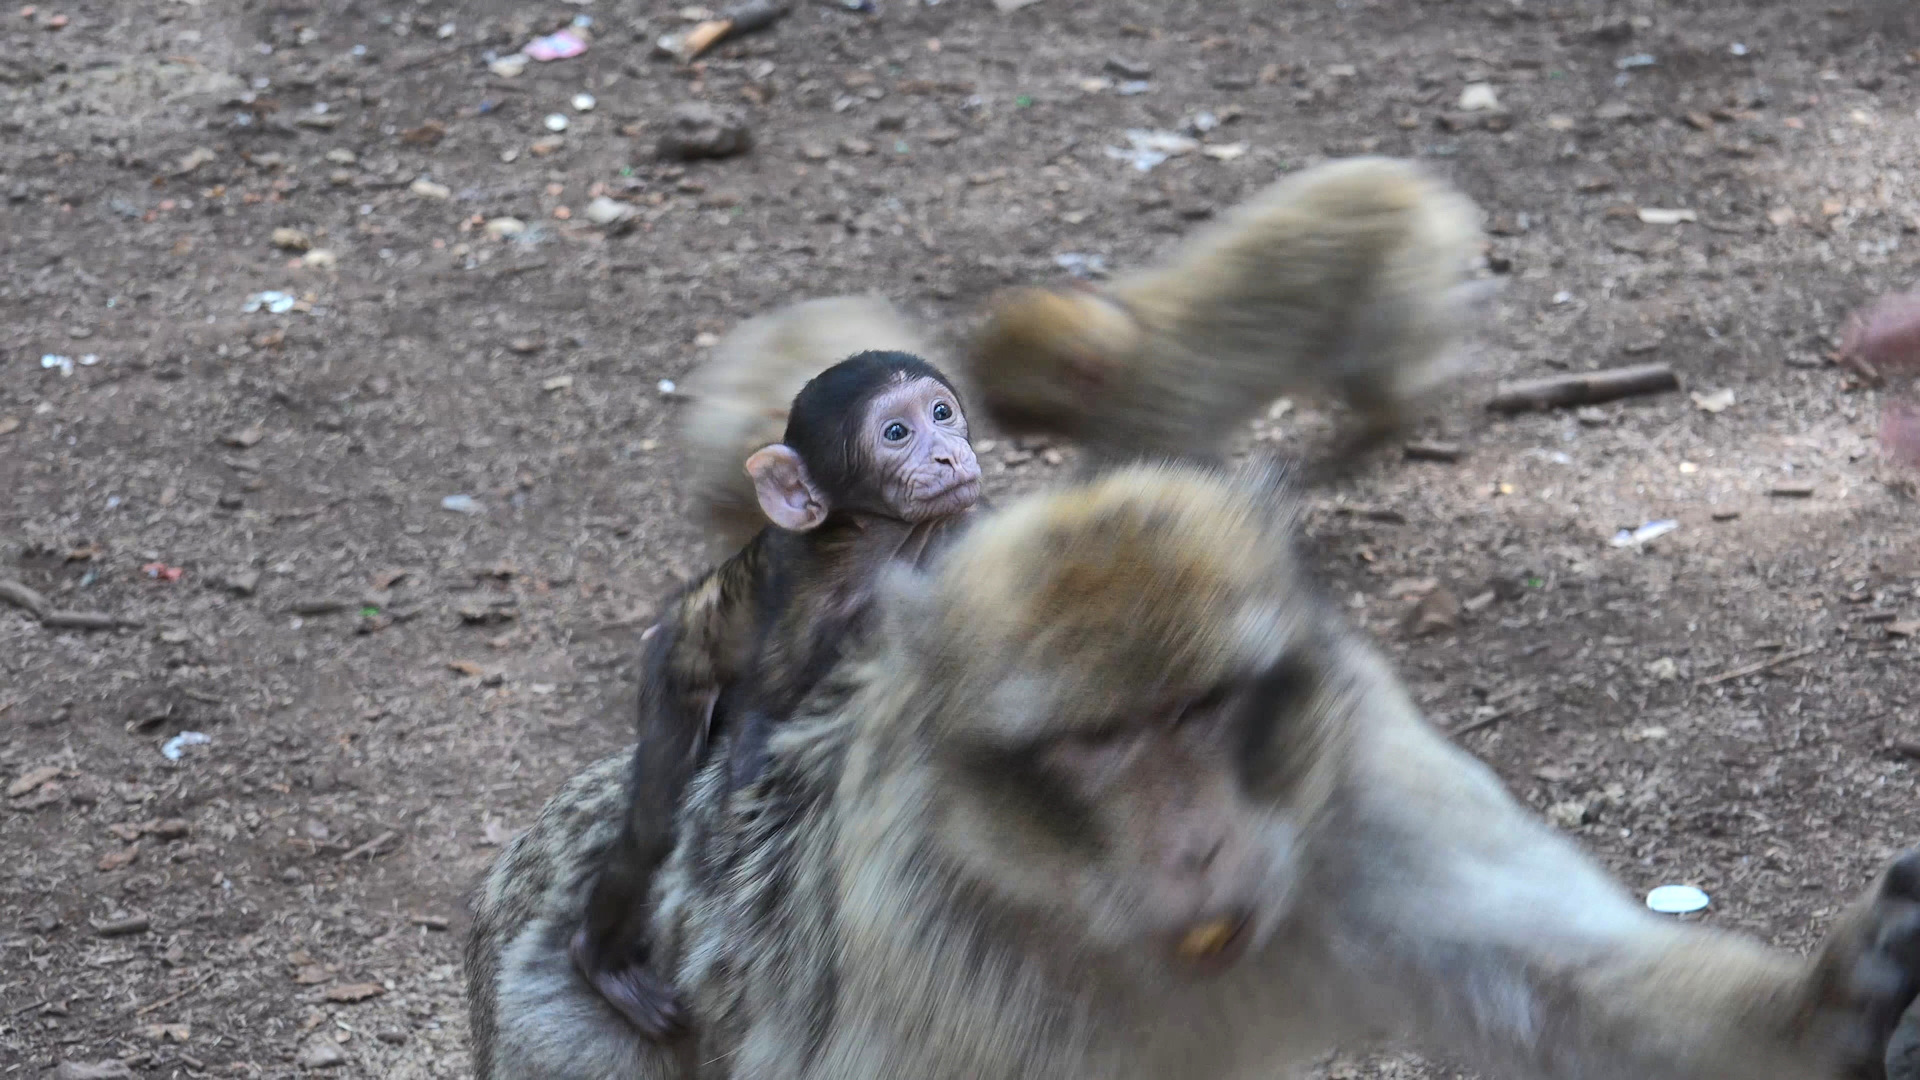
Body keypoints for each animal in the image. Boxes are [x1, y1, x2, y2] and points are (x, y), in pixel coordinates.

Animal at [468, 461, 1920, 1076]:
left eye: (1208, 708)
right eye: (1099, 743)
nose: (1199, 845)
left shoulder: (1356, 793)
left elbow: (1552, 987)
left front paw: (1827, 1006)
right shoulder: (937, 952)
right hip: (557, 1016)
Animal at [572, 345, 983, 1037]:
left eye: (941, 413)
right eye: (897, 432)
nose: (949, 454)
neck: (880, 543)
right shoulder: (808, 603)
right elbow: (756, 735)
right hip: (676, 663)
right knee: (652, 823)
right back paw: (599, 962)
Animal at [967, 154, 1489, 466]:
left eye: (1009, 408)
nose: (994, 423)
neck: (1132, 339)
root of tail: (1421, 193)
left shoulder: (1149, 421)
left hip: (1404, 265)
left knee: (1369, 370)